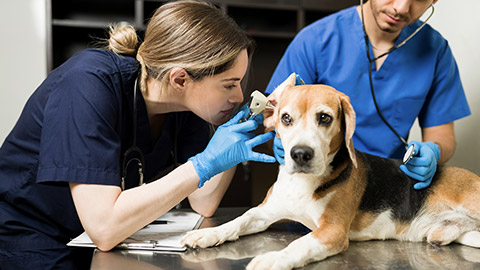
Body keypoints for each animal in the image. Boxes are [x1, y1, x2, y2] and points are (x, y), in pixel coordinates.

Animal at [181, 74, 480, 270]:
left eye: (324, 118)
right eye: (285, 118)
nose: (300, 154)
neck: (303, 184)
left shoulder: (332, 231)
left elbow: (299, 245)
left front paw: (274, 258)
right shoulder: (264, 213)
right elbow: (239, 220)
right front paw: (207, 234)